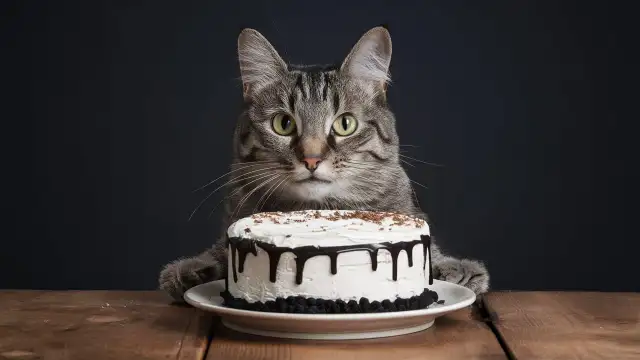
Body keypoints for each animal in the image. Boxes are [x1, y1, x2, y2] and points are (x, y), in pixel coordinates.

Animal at [160, 26, 490, 300]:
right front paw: (195, 269)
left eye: (345, 124)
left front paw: (455, 269)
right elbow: (216, 252)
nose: (312, 158)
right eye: (283, 124)